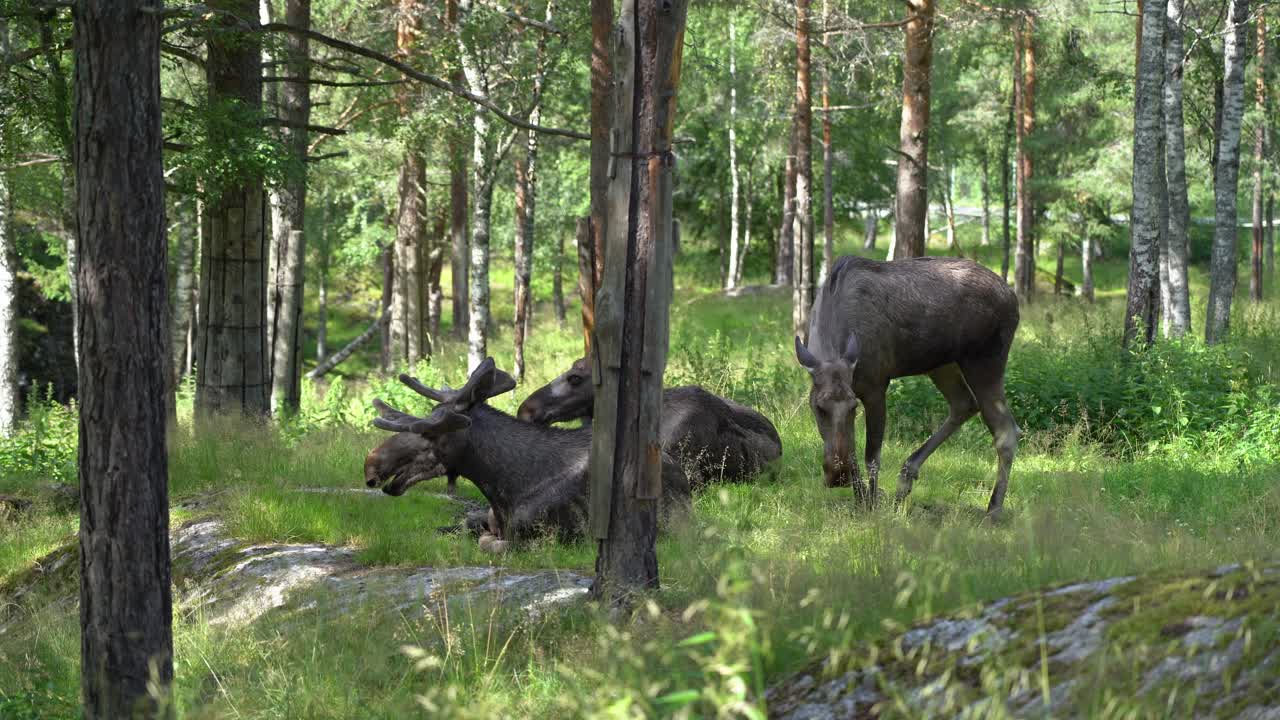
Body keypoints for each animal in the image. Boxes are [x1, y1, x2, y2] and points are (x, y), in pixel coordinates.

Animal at [363, 358, 692, 552]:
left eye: (430, 433)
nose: (371, 463)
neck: (502, 486)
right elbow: (462, 525)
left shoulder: (543, 537)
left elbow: (488, 543)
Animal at [794, 255, 1021, 520]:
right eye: (819, 408)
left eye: (852, 407)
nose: (838, 477)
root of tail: (1013, 296)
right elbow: (851, 449)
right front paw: (859, 502)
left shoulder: (876, 386)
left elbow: (872, 456)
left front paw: (871, 506)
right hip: (942, 364)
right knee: (964, 404)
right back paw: (906, 477)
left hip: (984, 361)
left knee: (1006, 430)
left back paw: (993, 510)